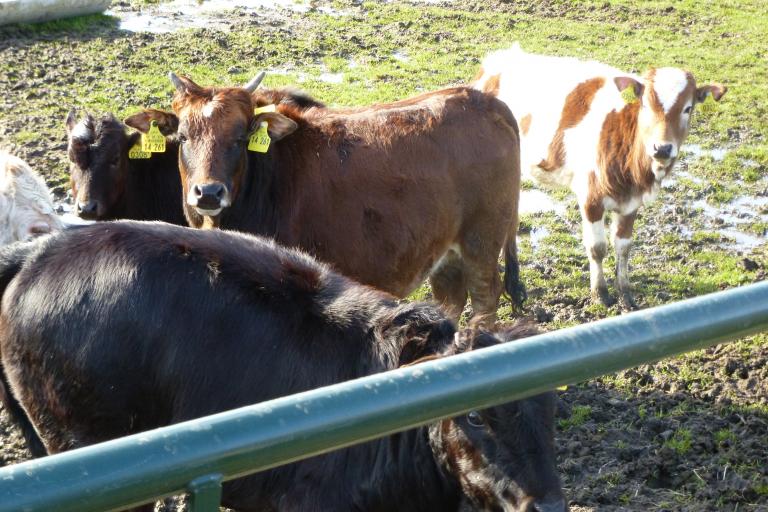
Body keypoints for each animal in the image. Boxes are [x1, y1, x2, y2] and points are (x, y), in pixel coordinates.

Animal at [126, 74, 524, 322]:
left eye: (239, 138)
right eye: (183, 136)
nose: (208, 192)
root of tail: (486, 101)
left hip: (482, 241)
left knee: (485, 298)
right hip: (446, 250)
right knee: (450, 299)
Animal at [474, 43, 728, 308]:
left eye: (688, 108)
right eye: (645, 105)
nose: (662, 148)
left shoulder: (631, 203)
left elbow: (623, 247)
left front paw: (625, 293)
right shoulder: (590, 197)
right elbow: (597, 247)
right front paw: (600, 293)